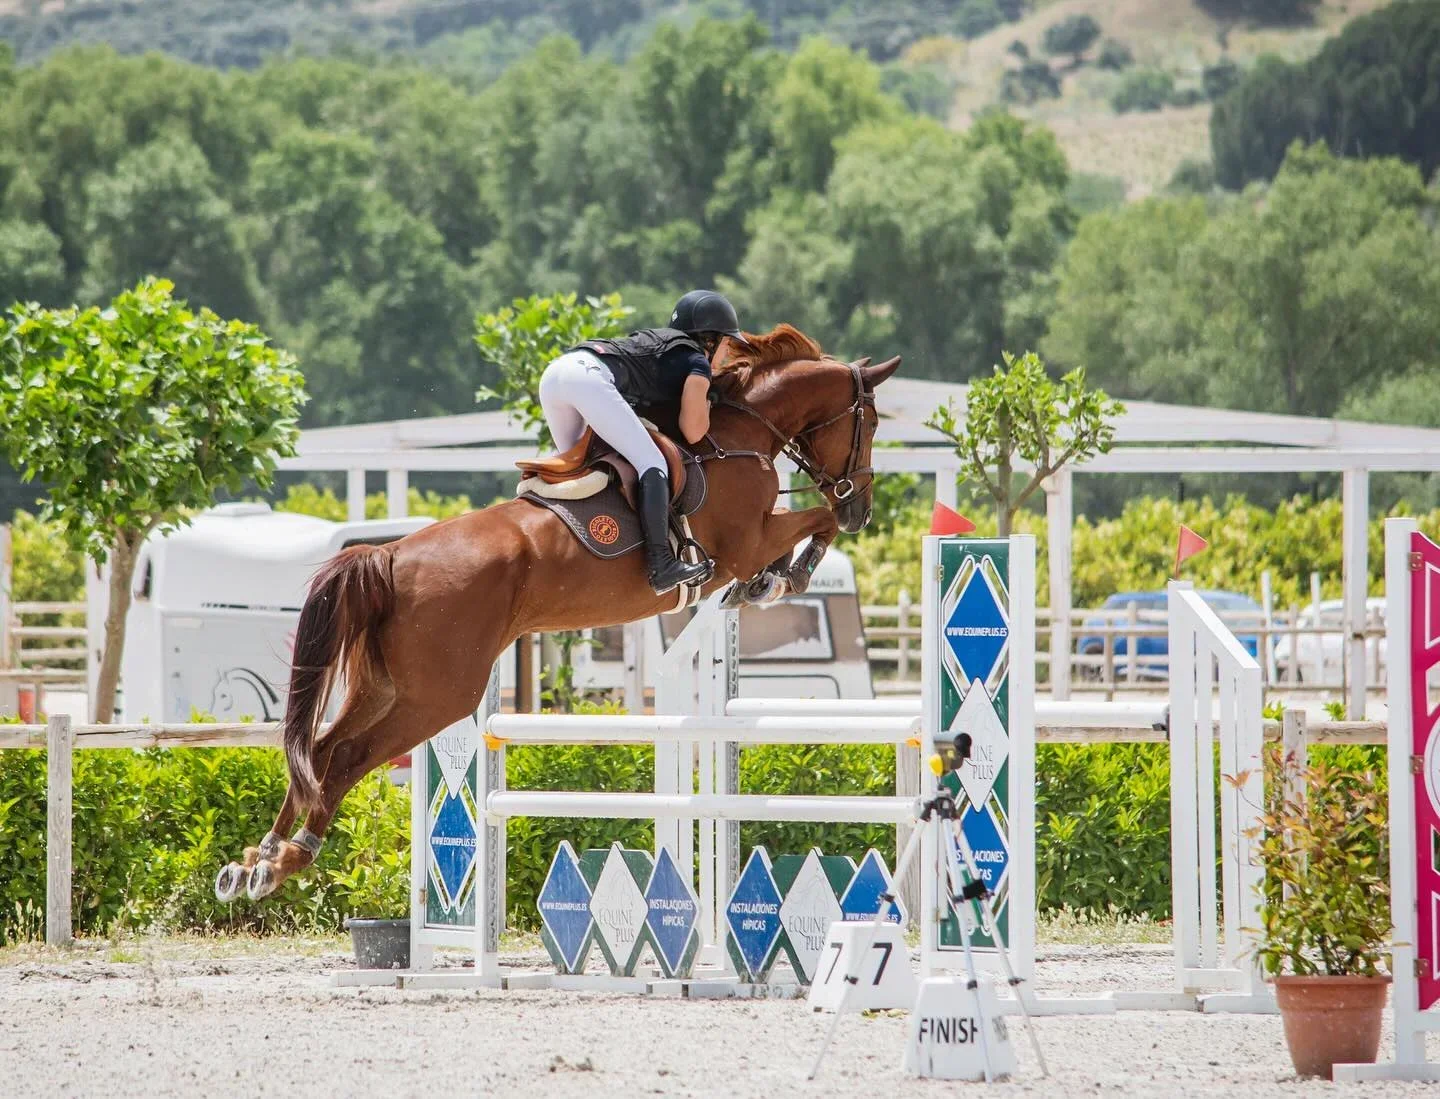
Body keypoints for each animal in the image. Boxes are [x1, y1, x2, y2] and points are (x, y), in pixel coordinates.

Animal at [214, 324, 901, 902]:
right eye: (868, 423)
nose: (863, 504)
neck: (739, 437)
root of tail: (388, 557)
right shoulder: (746, 540)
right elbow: (813, 521)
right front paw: (787, 575)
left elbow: (804, 530)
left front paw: (770, 582)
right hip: (439, 696)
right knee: (347, 759)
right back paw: (290, 860)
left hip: (386, 686)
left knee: (319, 750)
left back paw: (255, 861)